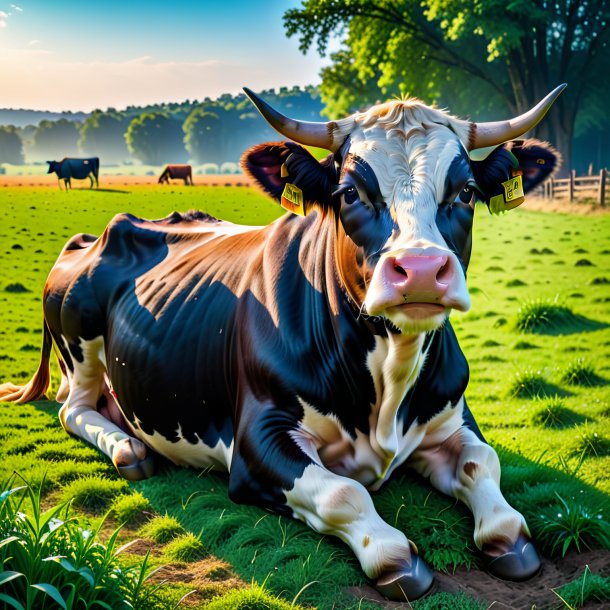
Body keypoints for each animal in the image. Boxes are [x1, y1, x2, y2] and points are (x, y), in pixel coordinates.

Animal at [0, 84, 564, 600]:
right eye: (350, 193)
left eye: (465, 192)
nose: (421, 270)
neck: (389, 379)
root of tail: (92, 236)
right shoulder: (255, 442)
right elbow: (344, 492)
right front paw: (395, 556)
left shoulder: (452, 414)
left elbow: (481, 462)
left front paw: (509, 538)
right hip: (80, 336)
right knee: (73, 408)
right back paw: (126, 447)